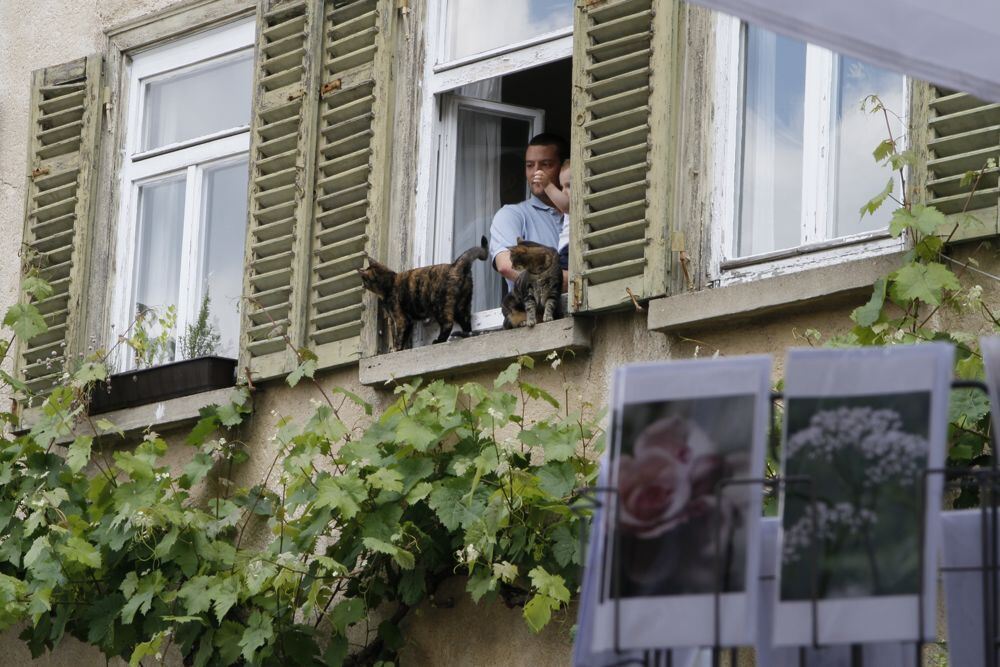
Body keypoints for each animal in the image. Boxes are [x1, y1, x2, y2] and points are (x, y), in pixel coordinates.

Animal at [360, 236, 488, 352]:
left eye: (364, 280)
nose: (362, 286)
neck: (389, 283)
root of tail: (455, 265)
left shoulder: (401, 319)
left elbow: (399, 336)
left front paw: (397, 349)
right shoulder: (406, 321)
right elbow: (402, 336)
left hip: (441, 306)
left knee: (448, 324)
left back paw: (439, 340)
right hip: (462, 306)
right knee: (466, 321)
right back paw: (466, 335)